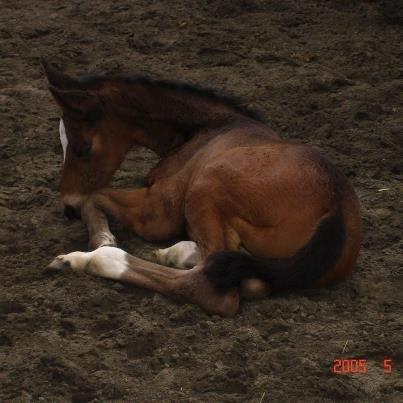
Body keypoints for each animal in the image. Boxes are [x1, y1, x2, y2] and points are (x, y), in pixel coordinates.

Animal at [44, 61, 362, 318]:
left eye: (82, 148)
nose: (67, 207)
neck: (210, 127)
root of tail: (336, 209)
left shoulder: (158, 212)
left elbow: (94, 197)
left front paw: (103, 240)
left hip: (206, 185)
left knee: (209, 286)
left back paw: (84, 260)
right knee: (243, 273)